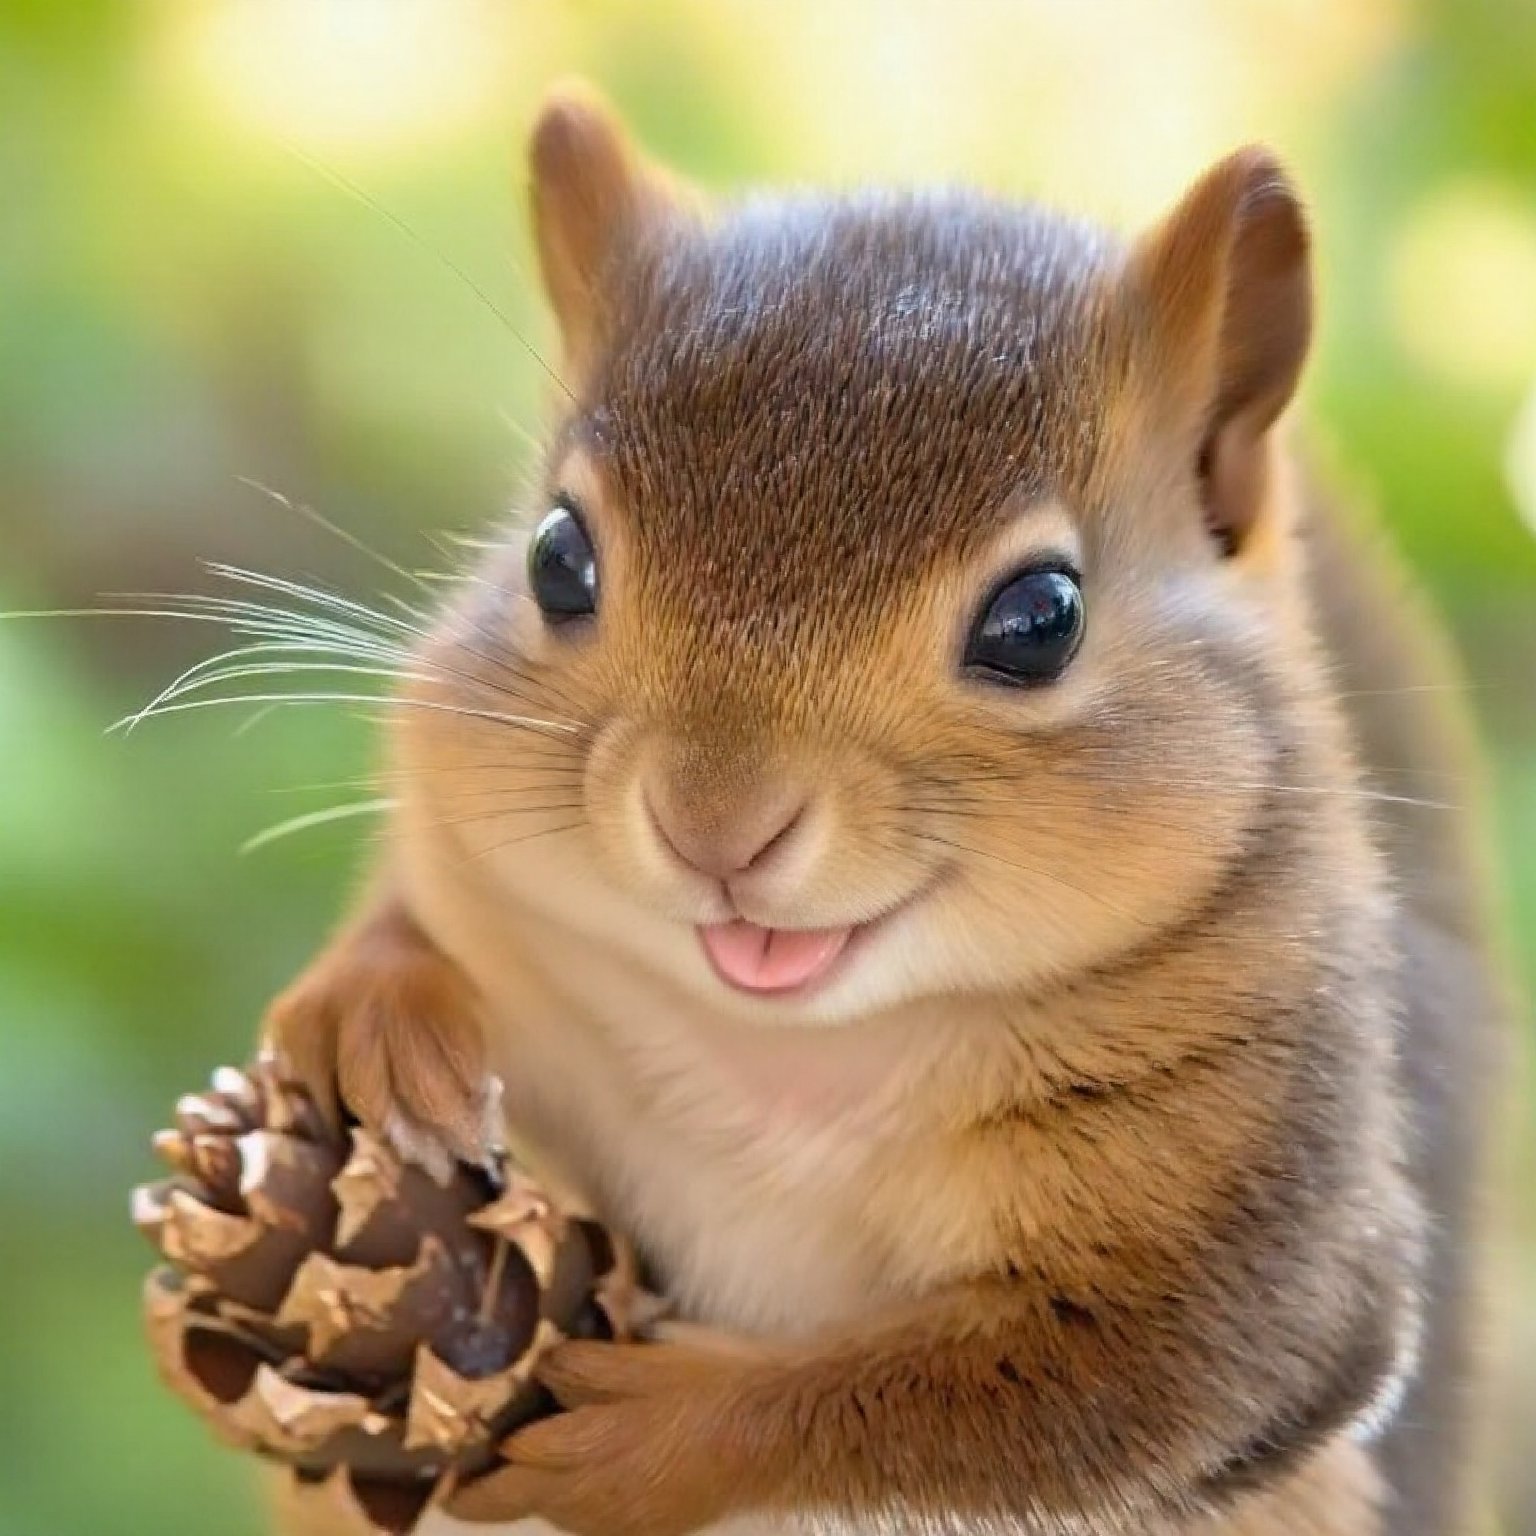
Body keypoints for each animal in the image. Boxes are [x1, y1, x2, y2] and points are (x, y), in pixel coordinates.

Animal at [264, 81, 1499, 1536]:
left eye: (1040, 619)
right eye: (556, 557)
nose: (714, 821)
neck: (789, 1064)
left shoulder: (1261, 1230)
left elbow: (1049, 1396)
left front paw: (653, 1435)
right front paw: (375, 1013)